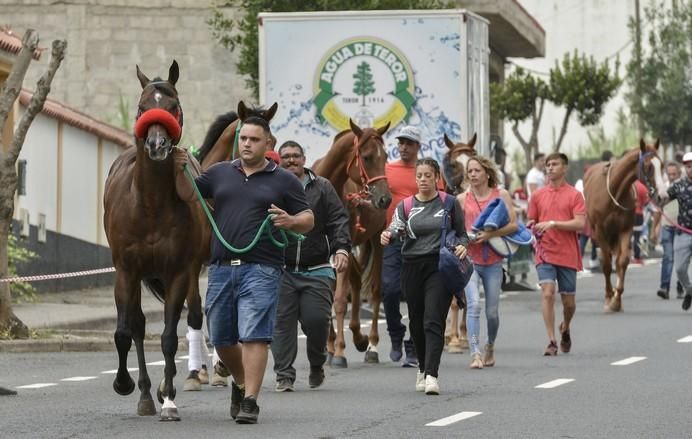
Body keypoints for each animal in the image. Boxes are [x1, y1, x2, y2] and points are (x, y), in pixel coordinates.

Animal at [101, 60, 207, 422]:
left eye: (173, 106)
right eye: (141, 108)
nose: (157, 146)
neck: (150, 205)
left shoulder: (178, 271)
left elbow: (169, 338)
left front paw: (170, 399)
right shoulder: (126, 270)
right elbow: (125, 331)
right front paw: (123, 384)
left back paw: (159, 391)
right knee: (136, 325)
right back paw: (145, 393)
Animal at [312, 119, 390, 368]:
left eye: (386, 156)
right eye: (366, 157)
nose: (385, 199)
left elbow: (338, 300)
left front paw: (339, 351)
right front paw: (330, 347)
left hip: (377, 238)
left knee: (375, 290)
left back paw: (370, 343)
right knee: (356, 279)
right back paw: (356, 335)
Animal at [580, 141, 668, 312]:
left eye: (661, 165)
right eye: (648, 167)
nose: (662, 196)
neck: (615, 192)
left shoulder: (625, 229)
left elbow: (623, 261)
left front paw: (617, 298)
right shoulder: (600, 231)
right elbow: (606, 264)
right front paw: (609, 297)